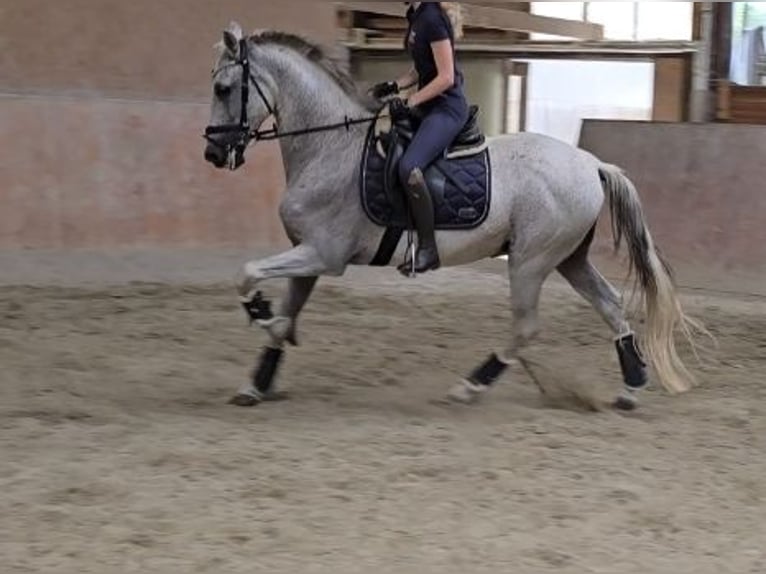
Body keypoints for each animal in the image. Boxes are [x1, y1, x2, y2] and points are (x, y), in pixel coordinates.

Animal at [202, 22, 704, 410]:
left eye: (223, 89)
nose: (213, 153)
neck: (329, 147)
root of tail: (591, 164)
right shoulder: (306, 256)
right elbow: (283, 310)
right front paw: (258, 379)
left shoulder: (324, 255)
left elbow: (248, 274)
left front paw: (262, 315)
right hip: (568, 257)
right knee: (611, 305)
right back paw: (631, 388)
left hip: (530, 261)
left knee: (526, 327)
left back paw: (470, 386)